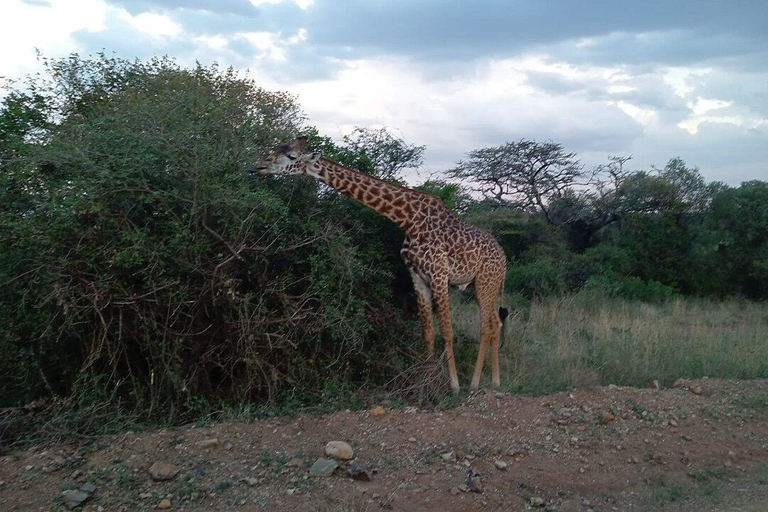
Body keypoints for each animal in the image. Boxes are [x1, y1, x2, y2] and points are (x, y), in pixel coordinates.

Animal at [254, 136, 510, 392]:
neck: (408, 220)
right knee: (496, 323)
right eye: (277, 150)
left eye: (291, 156)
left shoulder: (438, 274)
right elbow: (428, 332)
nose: (258, 166)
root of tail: (504, 259)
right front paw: (427, 380)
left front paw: (454, 385)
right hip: (480, 286)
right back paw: (495, 380)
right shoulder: (417, 277)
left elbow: (447, 331)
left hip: (486, 282)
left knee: (486, 326)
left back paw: (476, 383)